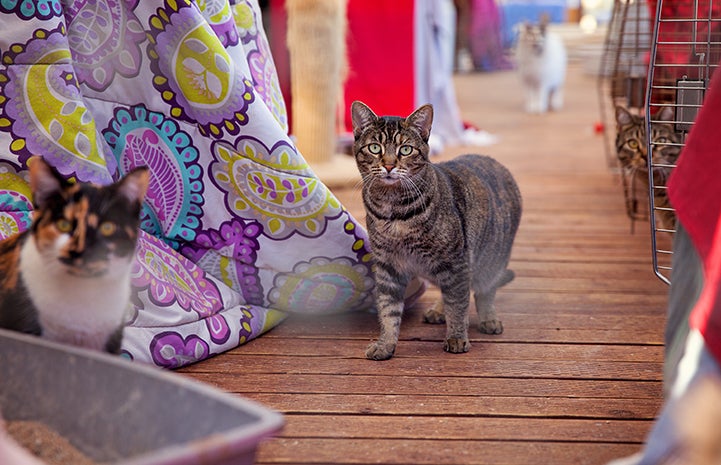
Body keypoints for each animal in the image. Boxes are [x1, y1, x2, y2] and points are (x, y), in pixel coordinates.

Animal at [352, 101, 520, 360]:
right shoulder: (388, 267)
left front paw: (457, 337)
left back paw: (488, 318)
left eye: (406, 150)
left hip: (491, 260)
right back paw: (439, 310)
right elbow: (388, 311)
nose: (389, 165)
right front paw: (385, 344)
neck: (393, 211)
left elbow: (458, 305)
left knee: (483, 291)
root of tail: (494, 160)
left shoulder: (456, 261)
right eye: (374, 147)